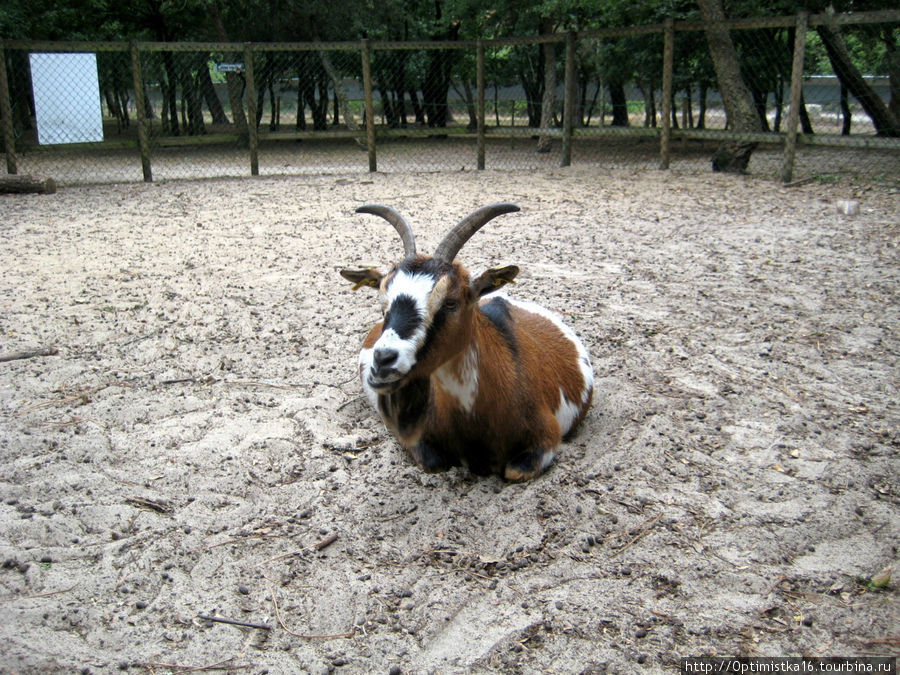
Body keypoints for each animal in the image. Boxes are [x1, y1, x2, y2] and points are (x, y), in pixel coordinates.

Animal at [342, 203, 596, 484]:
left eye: (451, 302)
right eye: (383, 303)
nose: (383, 361)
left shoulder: (546, 438)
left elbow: (514, 471)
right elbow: (433, 463)